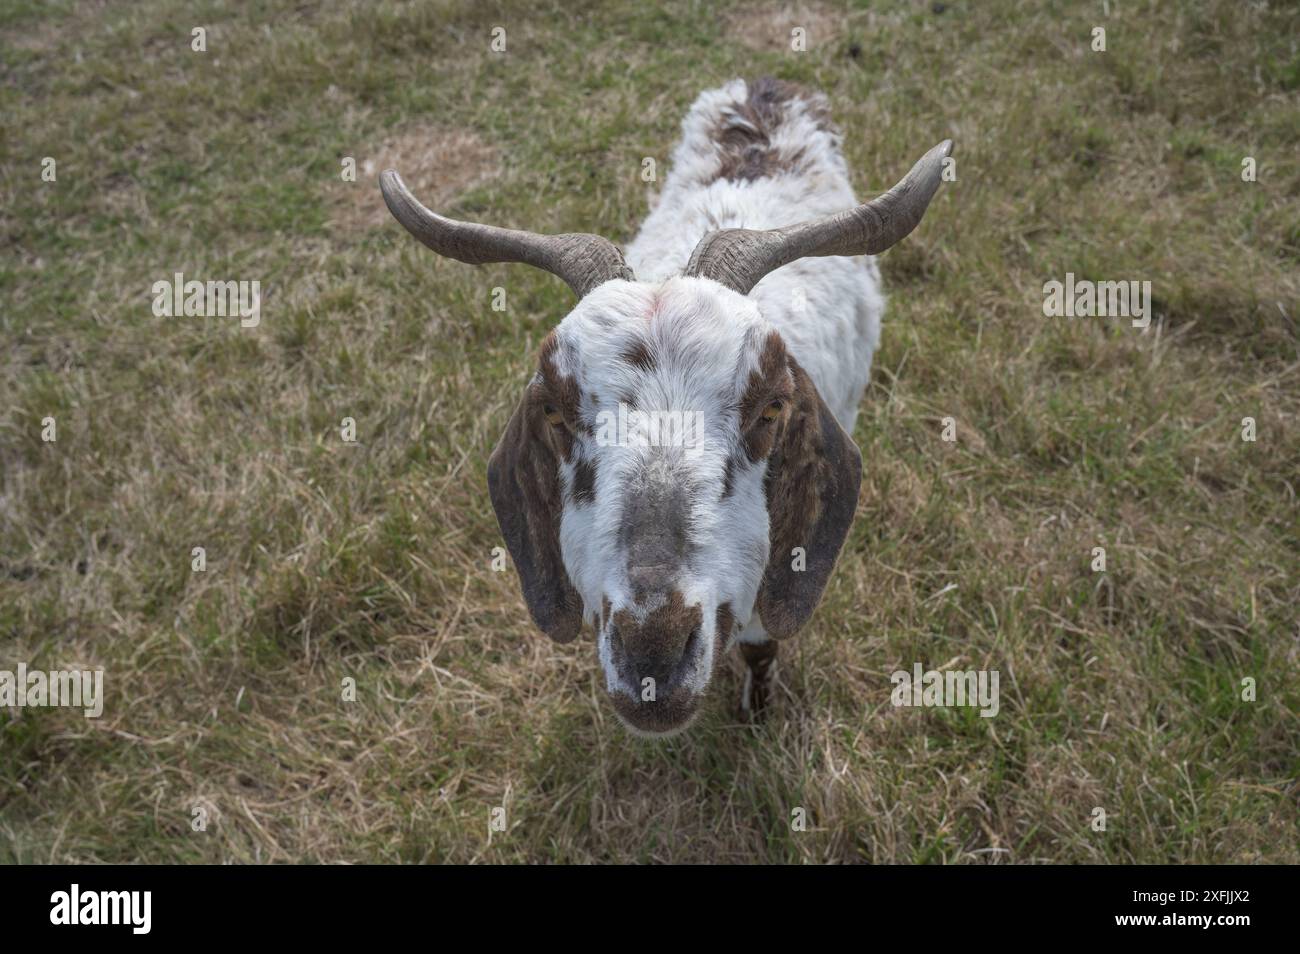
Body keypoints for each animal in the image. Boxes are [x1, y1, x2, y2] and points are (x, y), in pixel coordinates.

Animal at [382, 78, 951, 736]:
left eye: (771, 408)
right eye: (556, 413)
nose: (652, 654)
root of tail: (763, 90)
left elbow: (763, 638)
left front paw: (757, 713)